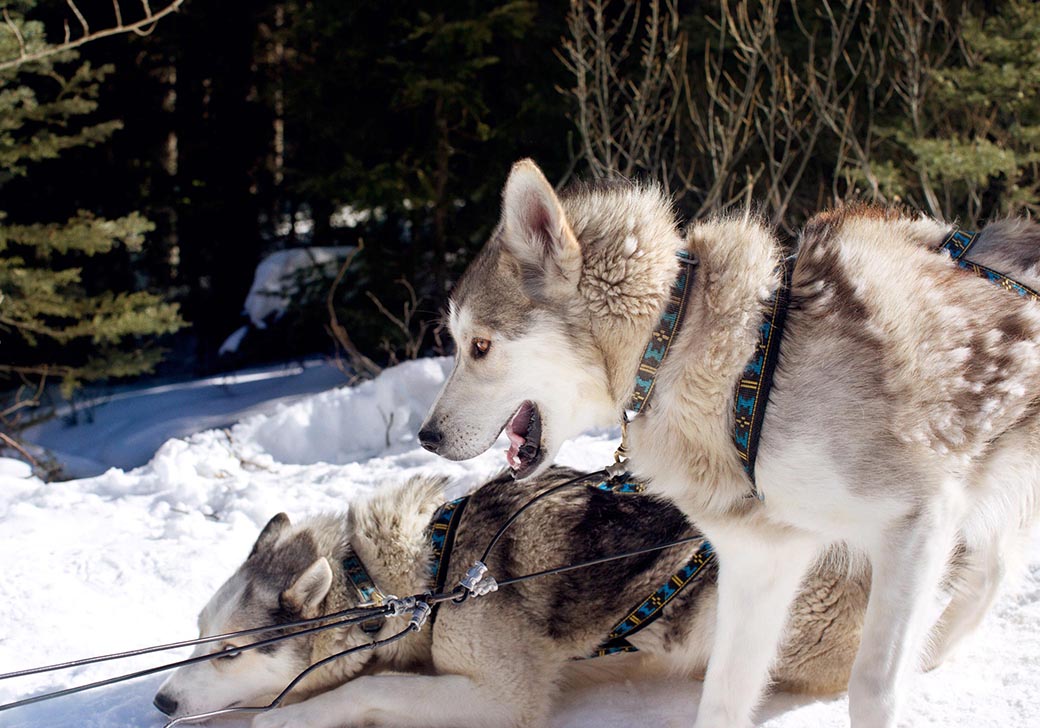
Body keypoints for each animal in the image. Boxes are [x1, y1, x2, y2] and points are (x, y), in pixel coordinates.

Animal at [153, 470, 869, 723]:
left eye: (229, 652)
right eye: (197, 635)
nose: (161, 701)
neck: (428, 575)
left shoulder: (501, 697)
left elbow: (367, 687)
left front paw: (284, 720)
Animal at [416, 160, 1040, 728]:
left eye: (479, 345)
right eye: (458, 343)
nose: (427, 436)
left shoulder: (917, 524)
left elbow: (872, 690)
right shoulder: (762, 560)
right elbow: (723, 699)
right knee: (992, 570)